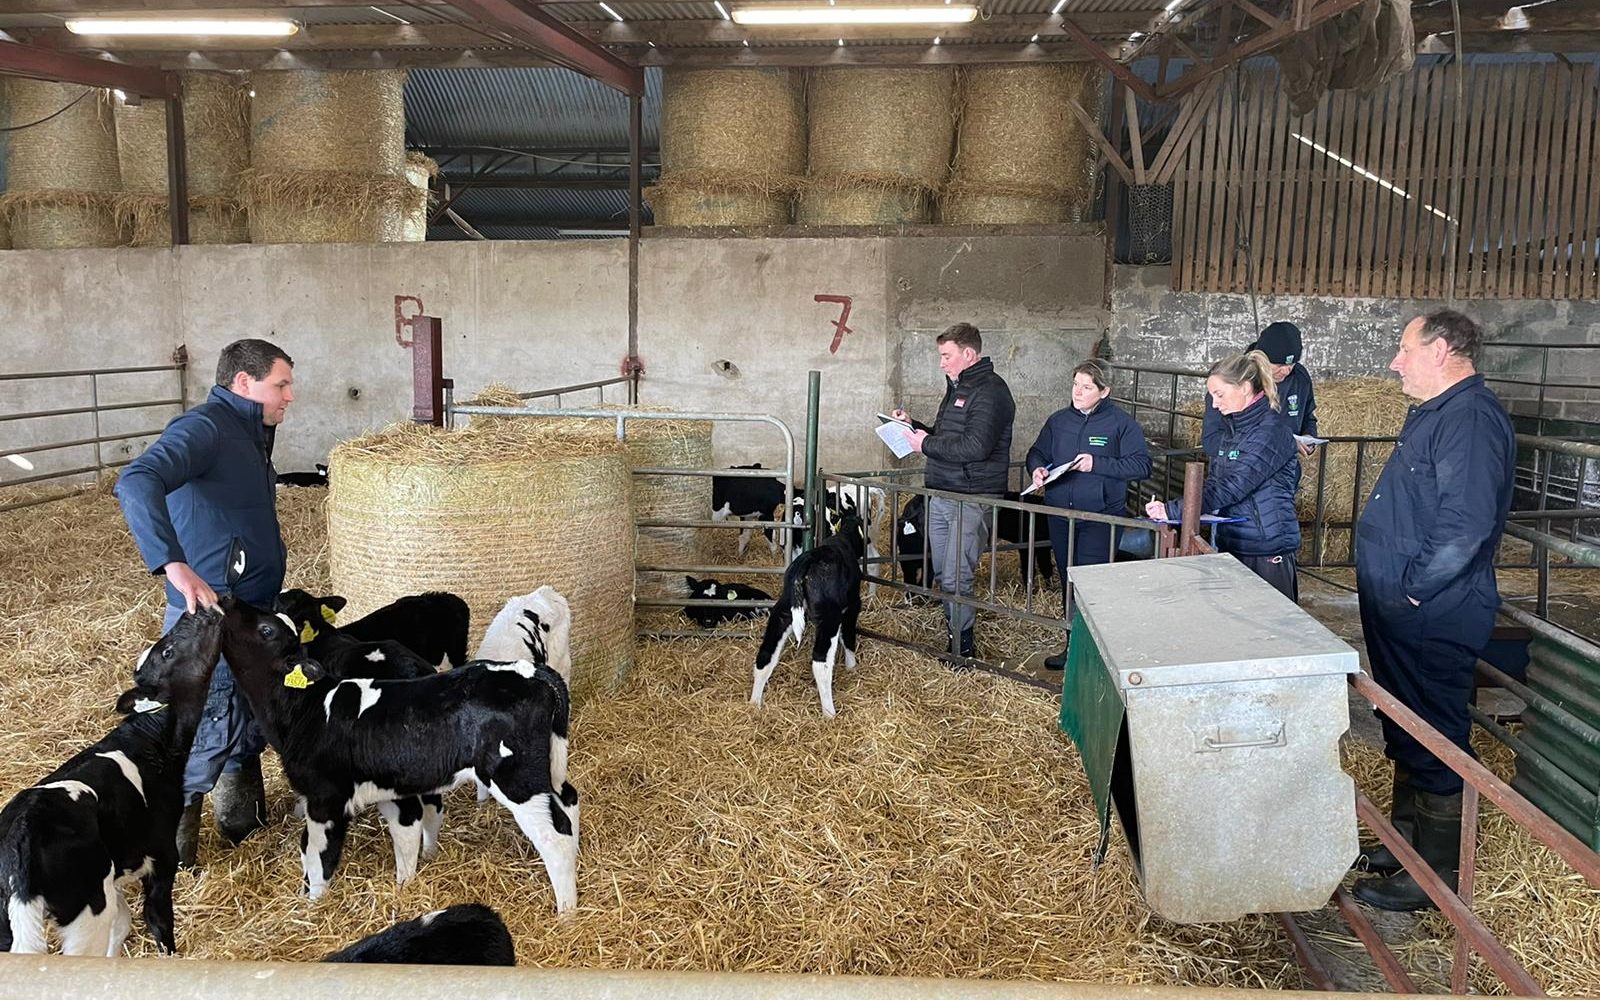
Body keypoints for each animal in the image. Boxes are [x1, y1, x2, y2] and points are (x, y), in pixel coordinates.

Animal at [0, 604, 228, 953]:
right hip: (87, 908)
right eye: (168, 651)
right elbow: (159, 924)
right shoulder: (162, 855)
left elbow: (122, 923)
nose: (198, 610)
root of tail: (22, 833)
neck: (150, 738)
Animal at [219, 595, 579, 908]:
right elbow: (404, 833)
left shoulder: (325, 798)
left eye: (267, 629)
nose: (228, 599)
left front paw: (311, 906)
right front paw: (406, 882)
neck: (307, 708)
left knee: (554, 834)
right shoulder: (388, 787)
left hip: (515, 776)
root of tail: (531, 672)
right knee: (569, 798)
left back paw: (566, 912)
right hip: (548, 762)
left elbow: (319, 855)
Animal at [755, 512, 870, 713]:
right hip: (829, 617)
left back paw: (754, 704)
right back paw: (830, 713)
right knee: (820, 662)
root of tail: (808, 560)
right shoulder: (852, 606)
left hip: (783, 611)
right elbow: (848, 636)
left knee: (766, 653)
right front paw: (852, 667)